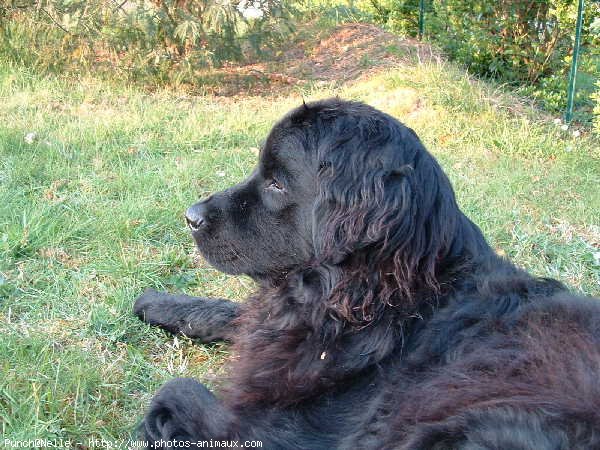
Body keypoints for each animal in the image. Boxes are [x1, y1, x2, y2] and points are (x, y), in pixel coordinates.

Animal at [134, 99, 596, 450]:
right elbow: (237, 317)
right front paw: (157, 302)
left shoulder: (278, 431)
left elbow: (177, 389)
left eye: (278, 183)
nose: (190, 216)